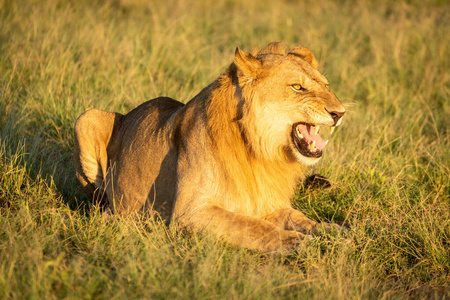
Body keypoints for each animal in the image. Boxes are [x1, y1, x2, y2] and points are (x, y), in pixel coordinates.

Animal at [74, 42, 346, 252]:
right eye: (297, 87)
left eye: (326, 86)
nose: (340, 113)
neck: (260, 150)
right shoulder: (189, 213)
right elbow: (254, 227)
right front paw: (300, 242)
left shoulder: (265, 202)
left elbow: (296, 217)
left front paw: (330, 230)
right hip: (87, 118)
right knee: (100, 203)